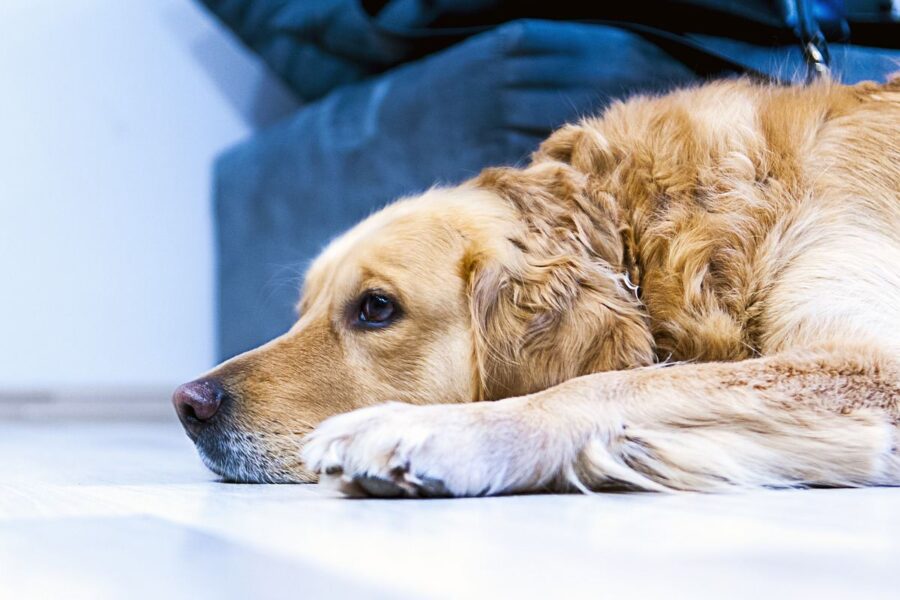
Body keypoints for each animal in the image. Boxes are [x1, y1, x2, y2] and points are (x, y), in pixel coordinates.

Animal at [174, 76, 900, 496]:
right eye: (302, 311)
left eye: (375, 308)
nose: (188, 404)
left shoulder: (874, 363)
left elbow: (613, 383)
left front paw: (430, 431)